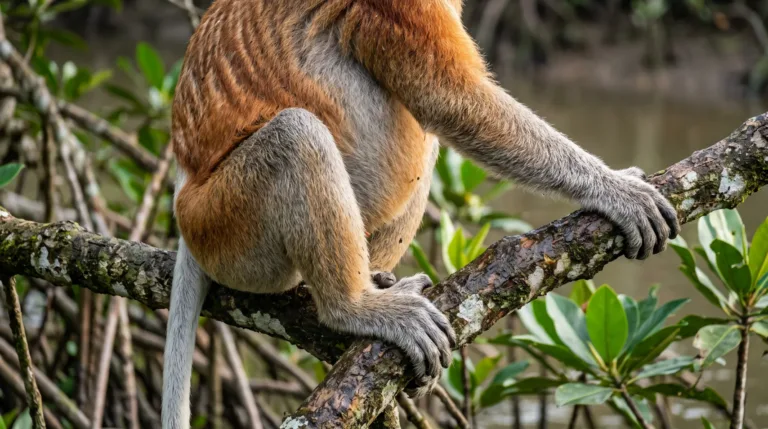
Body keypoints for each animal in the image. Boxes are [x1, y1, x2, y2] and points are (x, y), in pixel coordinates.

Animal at [162, 0, 680, 427]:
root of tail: (184, 194)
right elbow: (451, 98)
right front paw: (618, 191)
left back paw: (375, 280)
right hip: (228, 225)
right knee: (297, 135)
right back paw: (358, 306)